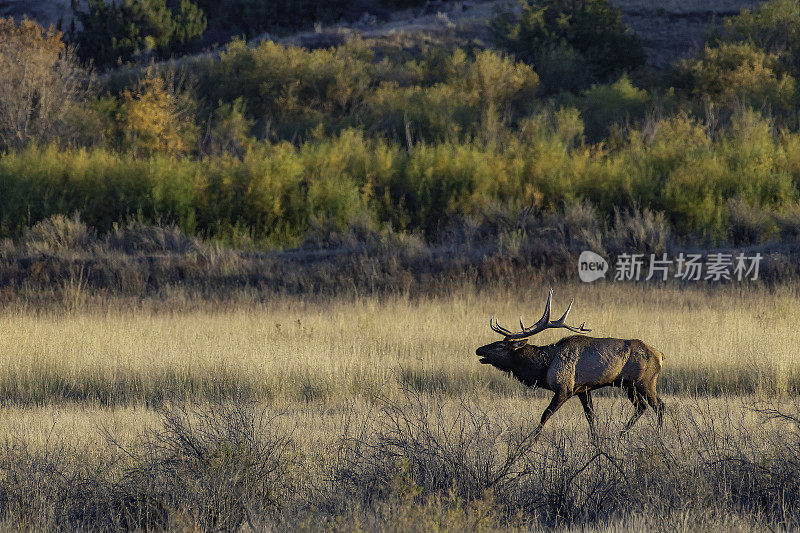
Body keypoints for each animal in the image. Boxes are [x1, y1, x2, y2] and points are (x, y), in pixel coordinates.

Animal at [478, 290, 664, 436]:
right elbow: (591, 418)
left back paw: (658, 434)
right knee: (641, 407)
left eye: (500, 346)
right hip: (627, 385)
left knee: (659, 406)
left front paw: (528, 443)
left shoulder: (564, 388)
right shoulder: (583, 390)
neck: (544, 367)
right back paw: (622, 434)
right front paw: (596, 442)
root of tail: (660, 355)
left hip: (645, 381)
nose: (478, 350)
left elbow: (545, 415)